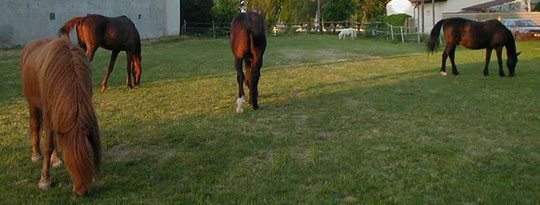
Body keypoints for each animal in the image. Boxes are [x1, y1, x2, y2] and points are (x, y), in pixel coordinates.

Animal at [20, 36, 103, 195]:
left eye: (87, 160)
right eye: (71, 162)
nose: (81, 192)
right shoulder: (47, 112)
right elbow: (48, 145)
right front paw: (44, 180)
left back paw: (55, 159)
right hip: (32, 103)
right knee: (35, 127)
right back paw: (36, 155)